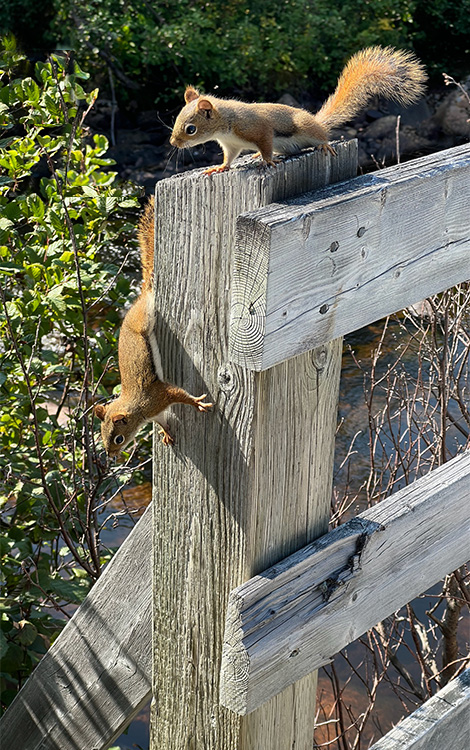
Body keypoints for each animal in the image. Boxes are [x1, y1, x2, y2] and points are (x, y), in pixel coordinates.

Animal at [94, 200, 212, 456]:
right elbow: (162, 421)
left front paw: (197, 403)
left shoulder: (158, 397)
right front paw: (166, 432)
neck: (136, 408)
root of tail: (139, 298)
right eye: (102, 435)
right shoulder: (154, 412)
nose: (111, 456)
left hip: (145, 316)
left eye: (118, 438)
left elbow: (180, 394)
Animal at [169, 46, 426, 175]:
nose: (173, 143)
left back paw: (322, 145)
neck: (226, 125)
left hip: (306, 128)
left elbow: (265, 143)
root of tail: (317, 121)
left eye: (190, 129)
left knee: (321, 137)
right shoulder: (231, 145)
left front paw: (266, 161)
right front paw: (220, 167)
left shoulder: (257, 128)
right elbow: (229, 158)